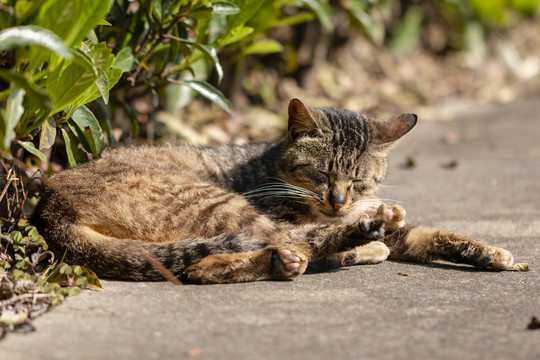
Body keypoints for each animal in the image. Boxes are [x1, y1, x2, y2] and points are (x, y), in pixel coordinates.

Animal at [30, 99, 516, 284]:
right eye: (320, 174)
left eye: (357, 179)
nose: (339, 200)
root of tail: (50, 203)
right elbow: (325, 232)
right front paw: (364, 233)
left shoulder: (393, 224)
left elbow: (435, 234)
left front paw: (490, 252)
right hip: (218, 203)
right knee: (264, 250)